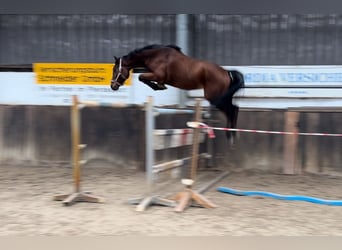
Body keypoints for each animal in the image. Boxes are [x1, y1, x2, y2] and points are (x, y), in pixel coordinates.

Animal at [111, 44, 244, 144]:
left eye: (115, 70)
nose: (113, 86)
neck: (155, 56)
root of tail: (226, 73)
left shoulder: (157, 75)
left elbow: (141, 77)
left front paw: (158, 86)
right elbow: (142, 77)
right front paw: (159, 86)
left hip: (214, 97)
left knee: (231, 110)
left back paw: (231, 135)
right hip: (223, 97)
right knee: (234, 108)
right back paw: (232, 134)